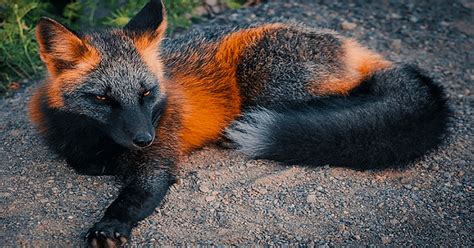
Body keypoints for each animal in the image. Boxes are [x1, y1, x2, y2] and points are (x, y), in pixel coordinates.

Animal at [28, 0, 448, 246]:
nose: (144, 138)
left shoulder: (159, 158)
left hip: (266, 80)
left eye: (147, 94)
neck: (98, 140)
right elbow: (80, 161)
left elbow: (137, 194)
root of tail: (351, 46)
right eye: (103, 98)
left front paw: (111, 224)